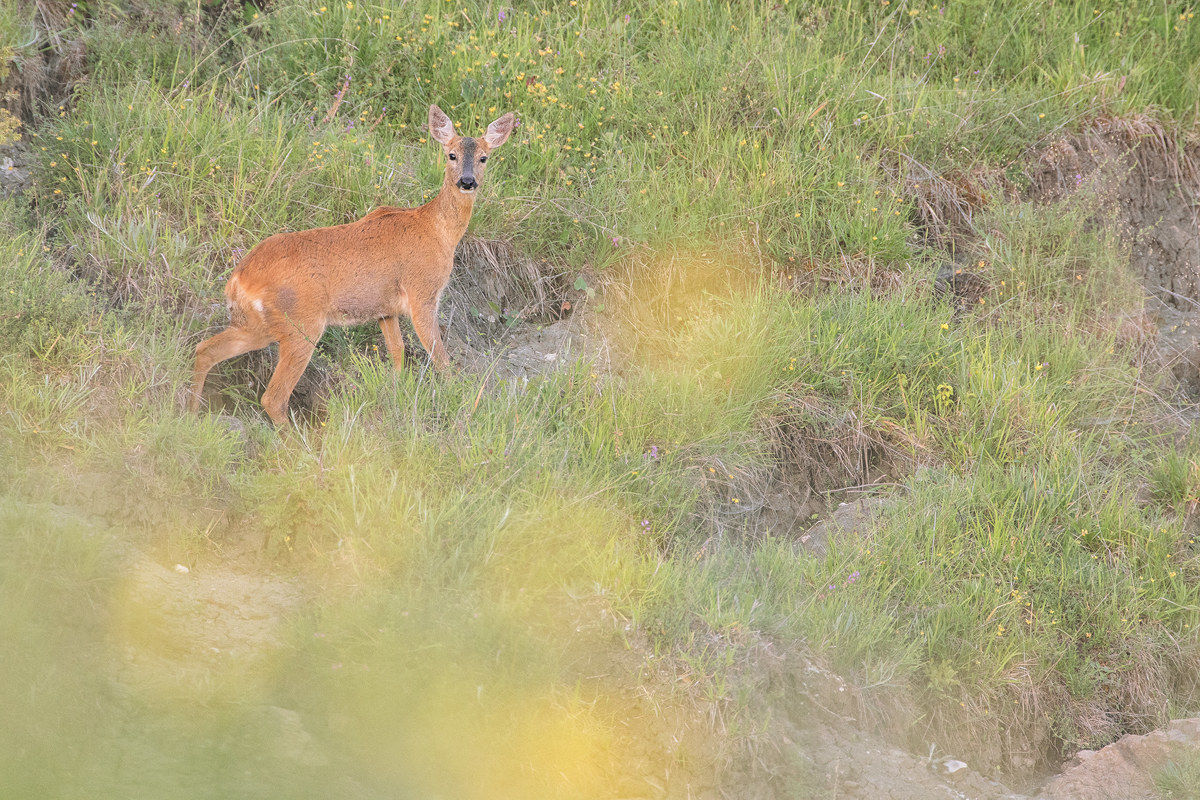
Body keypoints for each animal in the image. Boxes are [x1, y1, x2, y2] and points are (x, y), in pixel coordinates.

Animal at [187, 105, 516, 426]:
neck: (437, 230)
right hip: (302, 322)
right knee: (273, 397)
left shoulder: (385, 309)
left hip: (257, 324)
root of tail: (238, 279)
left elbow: (397, 354)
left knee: (205, 350)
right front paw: (462, 402)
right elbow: (440, 356)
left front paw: (396, 394)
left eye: (484, 157)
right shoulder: (422, 292)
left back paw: (190, 411)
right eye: (451, 155)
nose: (467, 182)